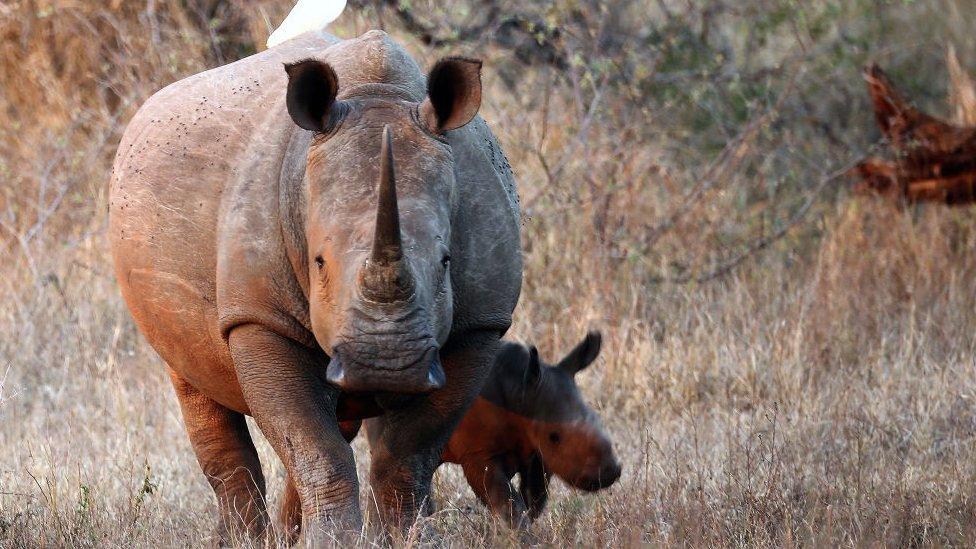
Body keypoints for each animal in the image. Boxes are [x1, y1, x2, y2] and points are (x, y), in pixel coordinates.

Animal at [109, 30, 524, 540]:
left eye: (446, 262)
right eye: (319, 262)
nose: (386, 364)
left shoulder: (479, 324)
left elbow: (407, 454)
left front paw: (403, 539)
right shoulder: (259, 318)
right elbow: (314, 445)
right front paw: (335, 541)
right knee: (195, 385)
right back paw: (247, 540)